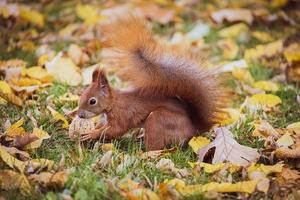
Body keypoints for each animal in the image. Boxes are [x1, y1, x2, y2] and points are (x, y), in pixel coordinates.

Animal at [77, 16, 227, 150]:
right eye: (81, 95)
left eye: (92, 101)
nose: (79, 115)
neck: (114, 103)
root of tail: (193, 129)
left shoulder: (123, 115)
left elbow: (116, 130)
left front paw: (91, 134)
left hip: (158, 120)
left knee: (156, 148)